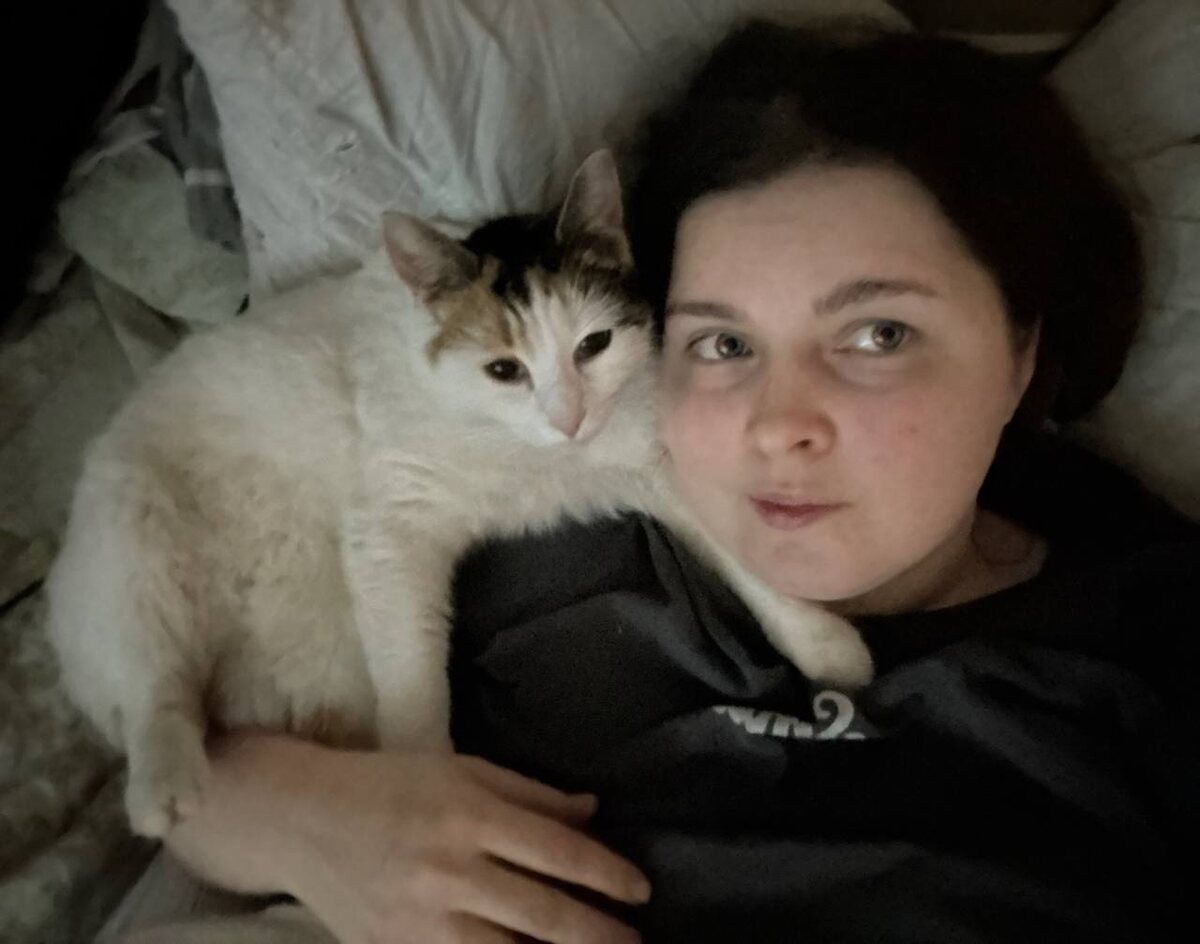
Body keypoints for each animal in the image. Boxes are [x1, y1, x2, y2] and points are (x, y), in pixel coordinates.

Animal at [46, 150, 873, 840]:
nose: (569, 419)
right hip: (133, 541)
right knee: (154, 684)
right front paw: (434, 796)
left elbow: (735, 542)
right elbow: (413, 686)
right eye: (504, 370)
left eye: (594, 345)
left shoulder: (651, 456)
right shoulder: (391, 528)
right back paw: (165, 780)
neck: (530, 451)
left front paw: (818, 638)